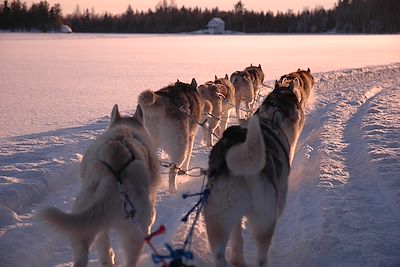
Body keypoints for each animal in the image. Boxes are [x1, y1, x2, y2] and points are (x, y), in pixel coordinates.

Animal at [40, 105, 159, 267]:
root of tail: (115, 168)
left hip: (86, 221)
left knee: (90, 248)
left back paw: (106, 259)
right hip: (135, 230)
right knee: (131, 258)